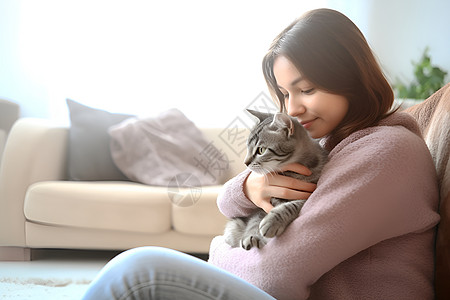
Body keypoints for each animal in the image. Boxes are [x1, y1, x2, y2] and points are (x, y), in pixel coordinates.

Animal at [224, 109, 326, 250]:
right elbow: (254, 222)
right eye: (248, 147)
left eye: (261, 150)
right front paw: (252, 236)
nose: (245, 163)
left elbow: (291, 205)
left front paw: (273, 221)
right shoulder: (260, 207)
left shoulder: (309, 195)